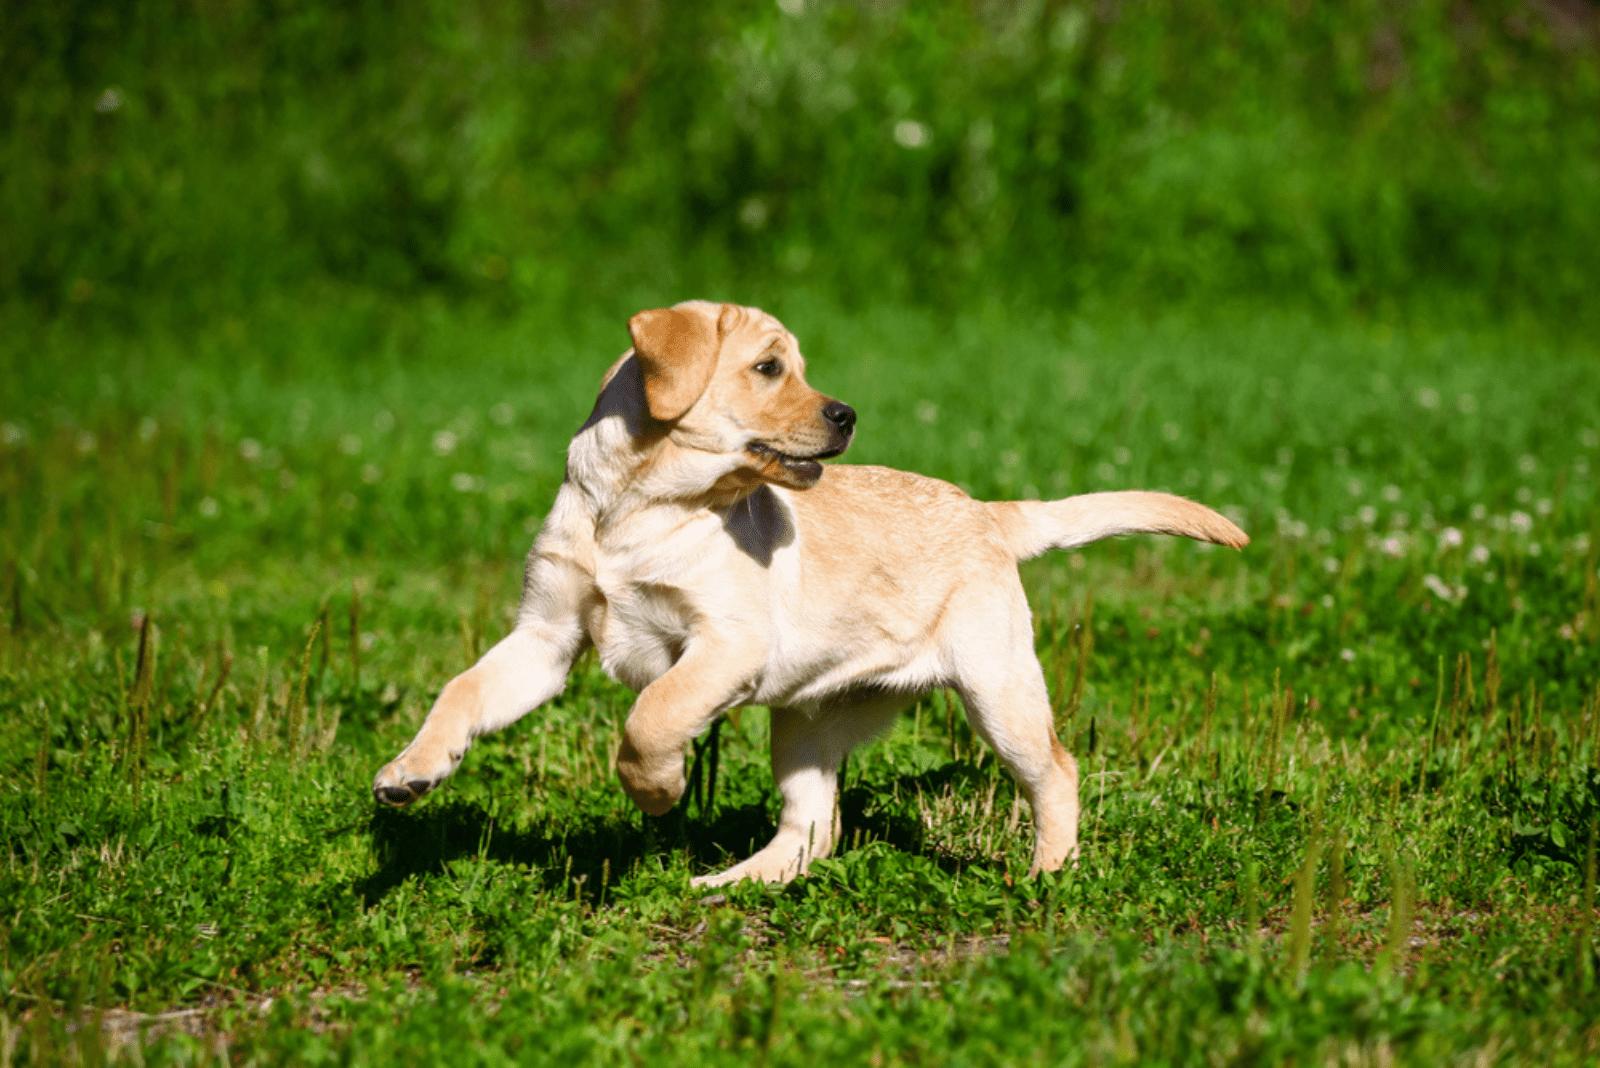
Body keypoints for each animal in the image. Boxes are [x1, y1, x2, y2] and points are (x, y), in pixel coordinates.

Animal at [374, 300, 1248, 882]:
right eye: (769, 368)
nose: (847, 414)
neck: (640, 505)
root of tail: (988, 512)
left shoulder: (727, 642)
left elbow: (651, 715)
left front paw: (657, 792)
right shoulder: (546, 637)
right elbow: (462, 690)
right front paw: (410, 771)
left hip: (999, 693)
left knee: (1055, 774)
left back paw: (1045, 878)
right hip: (806, 721)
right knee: (812, 826)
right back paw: (732, 885)